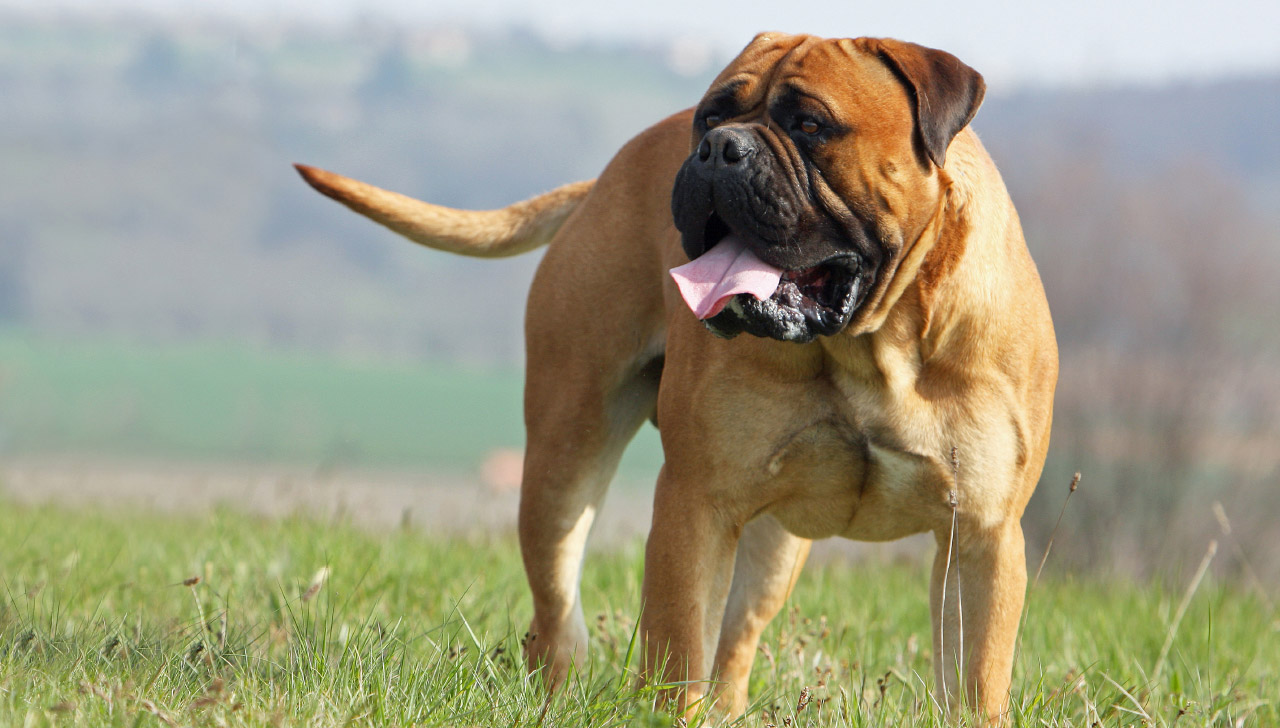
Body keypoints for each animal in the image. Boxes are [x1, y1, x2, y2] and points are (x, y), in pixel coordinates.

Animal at [296, 31, 1059, 716]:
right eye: (711, 117)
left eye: (810, 125)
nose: (719, 149)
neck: (870, 345)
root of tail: (600, 181)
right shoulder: (696, 505)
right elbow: (677, 648)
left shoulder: (982, 537)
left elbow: (975, 679)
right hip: (564, 461)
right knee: (558, 609)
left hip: (773, 546)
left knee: (735, 643)